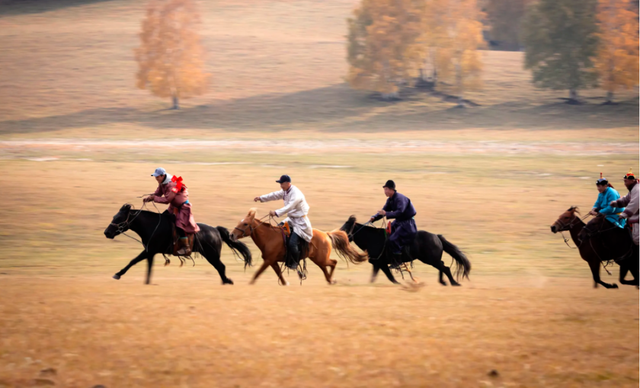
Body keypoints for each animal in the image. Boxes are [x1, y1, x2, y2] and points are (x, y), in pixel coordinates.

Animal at [104, 203, 251, 284]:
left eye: (119, 218)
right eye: (114, 216)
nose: (107, 233)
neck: (152, 226)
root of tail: (216, 230)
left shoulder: (149, 250)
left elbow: (133, 261)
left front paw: (118, 274)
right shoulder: (150, 252)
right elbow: (149, 268)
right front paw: (147, 282)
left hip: (212, 255)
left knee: (221, 267)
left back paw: (226, 281)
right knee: (220, 267)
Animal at [231, 209, 370, 284]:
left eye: (245, 224)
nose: (232, 235)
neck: (269, 237)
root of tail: (326, 234)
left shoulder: (268, 260)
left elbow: (257, 273)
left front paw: (250, 283)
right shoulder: (272, 261)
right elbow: (279, 275)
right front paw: (285, 283)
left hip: (321, 259)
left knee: (333, 263)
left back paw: (331, 280)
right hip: (318, 260)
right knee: (327, 268)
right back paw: (330, 280)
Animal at [340, 215, 470, 284]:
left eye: (346, 227)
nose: (338, 235)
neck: (372, 238)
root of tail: (436, 236)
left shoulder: (381, 263)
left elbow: (390, 278)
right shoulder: (378, 264)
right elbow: (377, 278)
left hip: (431, 260)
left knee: (445, 268)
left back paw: (454, 283)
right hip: (432, 260)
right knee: (442, 266)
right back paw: (443, 282)